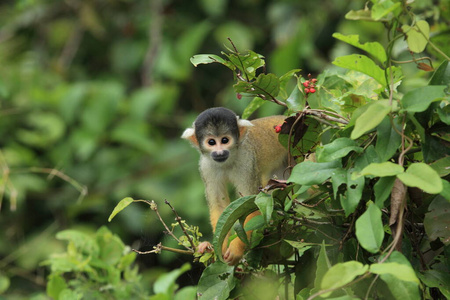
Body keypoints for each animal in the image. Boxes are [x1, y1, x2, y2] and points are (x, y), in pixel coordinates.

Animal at [182, 106, 288, 264]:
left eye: (225, 140)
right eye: (211, 142)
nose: (219, 152)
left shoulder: (247, 161)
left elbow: (251, 202)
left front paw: (236, 248)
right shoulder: (206, 166)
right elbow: (219, 205)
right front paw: (215, 248)